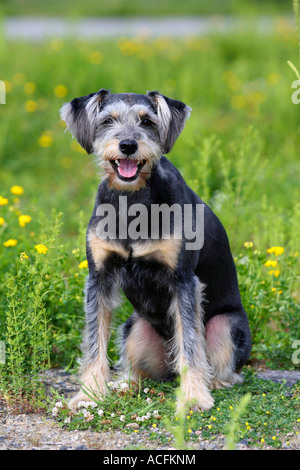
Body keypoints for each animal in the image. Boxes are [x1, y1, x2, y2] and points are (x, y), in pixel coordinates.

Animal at [60, 89, 251, 412]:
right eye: (107, 120)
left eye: (147, 121)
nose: (128, 145)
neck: (132, 203)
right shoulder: (99, 278)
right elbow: (94, 341)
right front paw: (89, 394)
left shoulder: (183, 281)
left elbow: (190, 343)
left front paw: (194, 398)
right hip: (134, 329)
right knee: (140, 371)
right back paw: (125, 385)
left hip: (226, 326)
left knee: (219, 367)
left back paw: (209, 385)